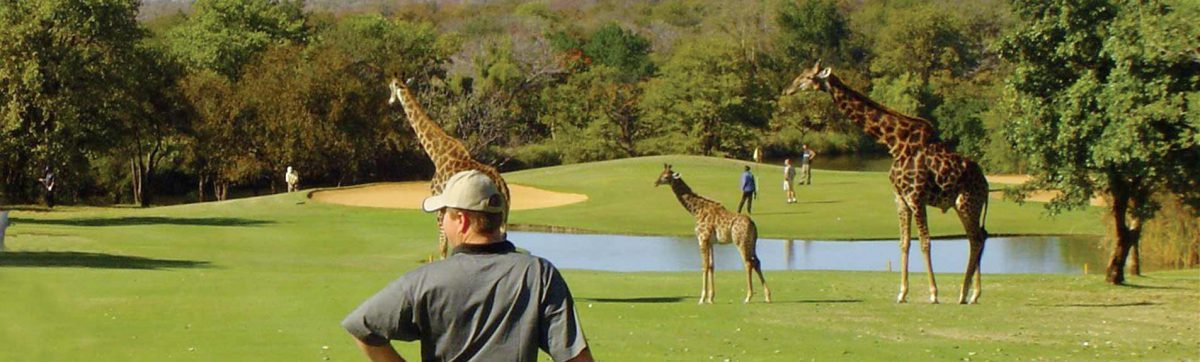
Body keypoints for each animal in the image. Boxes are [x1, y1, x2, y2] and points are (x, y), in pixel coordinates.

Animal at [388, 77, 511, 257]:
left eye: (391, 87)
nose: (390, 101)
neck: (437, 154)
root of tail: (503, 187)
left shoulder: (439, 203)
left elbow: (443, 246)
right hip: (505, 216)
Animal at [657, 163, 768, 302]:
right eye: (660, 173)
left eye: (666, 176)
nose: (656, 182)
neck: (696, 211)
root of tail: (753, 224)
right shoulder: (711, 242)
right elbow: (711, 266)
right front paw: (711, 298)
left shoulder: (702, 239)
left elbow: (704, 266)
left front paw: (702, 298)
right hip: (752, 242)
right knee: (757, 262)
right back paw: (767, 296)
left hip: (740, 241)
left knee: (748, 263)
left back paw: (748, 297)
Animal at [782, 62, 988, 305]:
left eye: (806, 77)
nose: (787, 90)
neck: (894, 143)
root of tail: (985, 183)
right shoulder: (900, 198)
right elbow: (904, 242)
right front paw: (902, 293)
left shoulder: (916, 197)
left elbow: (925, 242)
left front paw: (933, 293)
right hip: (962, 204)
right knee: (978, 237)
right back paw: (972, 294)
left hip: (967, 203)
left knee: (976, 238)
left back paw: (966, 293)